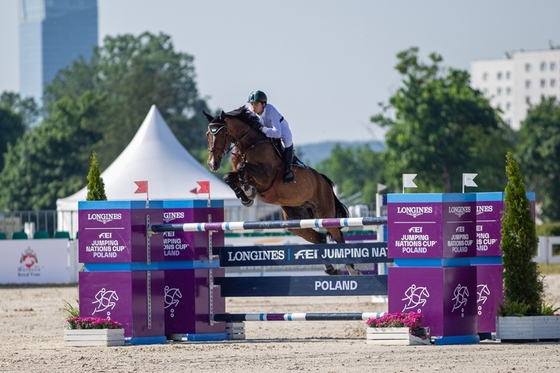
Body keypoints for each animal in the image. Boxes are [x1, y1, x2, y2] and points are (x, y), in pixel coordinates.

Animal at [203, 106, 360, 274]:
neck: (247, 145)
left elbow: (242, 167)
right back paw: (331, 269)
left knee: (338, 236)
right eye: (208, 134)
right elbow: (229, 176)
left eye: (222, 134)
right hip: (295, 221)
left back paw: (352, 270)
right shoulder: (239, 174)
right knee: (320, 238)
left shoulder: (265, 177)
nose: (212, 164)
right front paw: (245, 197)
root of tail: (324, 181)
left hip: (325, 214)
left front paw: (248, 190)